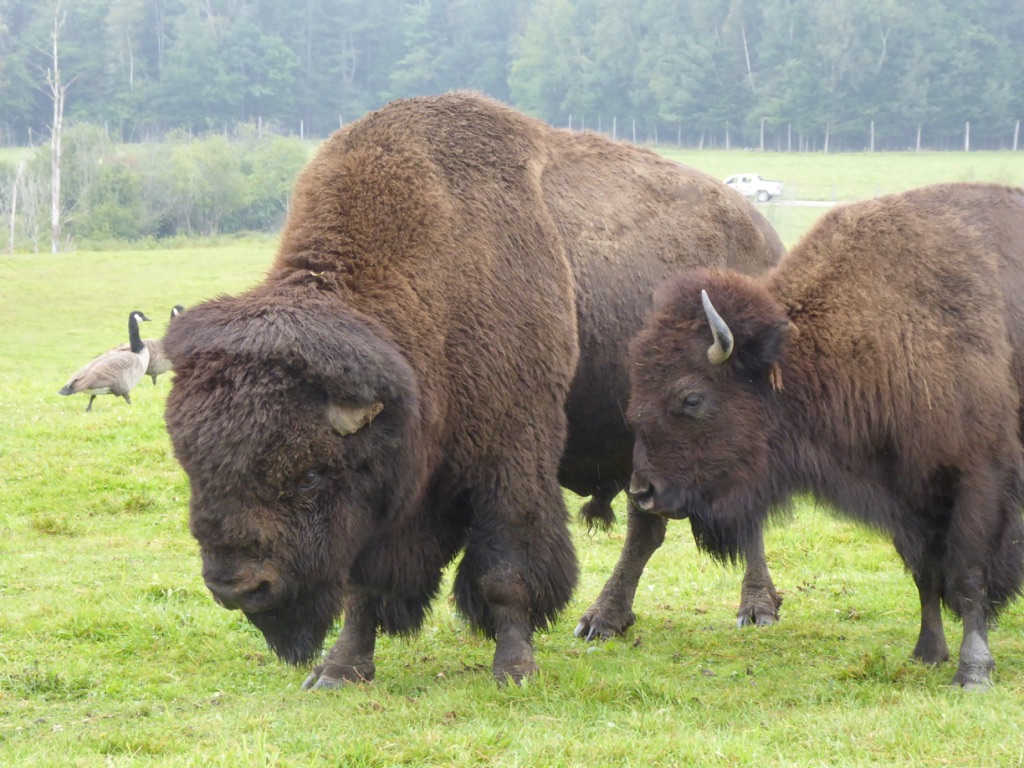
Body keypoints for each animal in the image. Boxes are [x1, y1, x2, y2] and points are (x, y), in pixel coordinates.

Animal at [162, 91, 784, 689]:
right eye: (193, 467)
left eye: (311, 473)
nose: (237, 586)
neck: (428, 278)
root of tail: (765, 236)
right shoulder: (394, 500)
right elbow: (363, 588)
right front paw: (338, 671)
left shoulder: (509, 461)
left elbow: (505, 574)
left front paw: (515, 669)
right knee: (645, 527)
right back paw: (602, 621)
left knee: (732, 515)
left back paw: (756, 609)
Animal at [616, 183, 1024, 689]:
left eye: (691, 397)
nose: (643, 491)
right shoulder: (906, 494)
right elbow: (924, 574)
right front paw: (927, 653)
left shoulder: (979, 477)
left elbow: (969, 577)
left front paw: (973, 672)